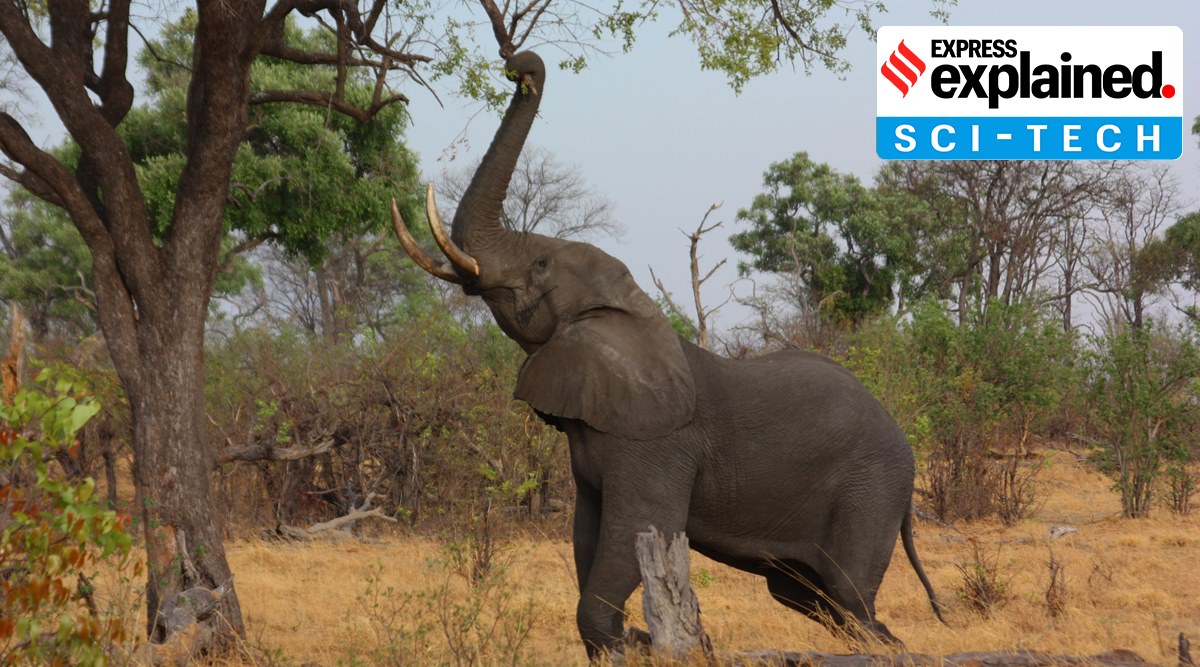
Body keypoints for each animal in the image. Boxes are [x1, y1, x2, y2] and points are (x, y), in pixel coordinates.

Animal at [390, 50, 943, 657]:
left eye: (540, 265)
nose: (521, 66)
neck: (626, 311)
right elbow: (588, 535)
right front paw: (633, 641)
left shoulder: (655, 446)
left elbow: (632, 531)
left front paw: (632, 641)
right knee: (816, 599)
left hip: (870, 489)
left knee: (850, 597)